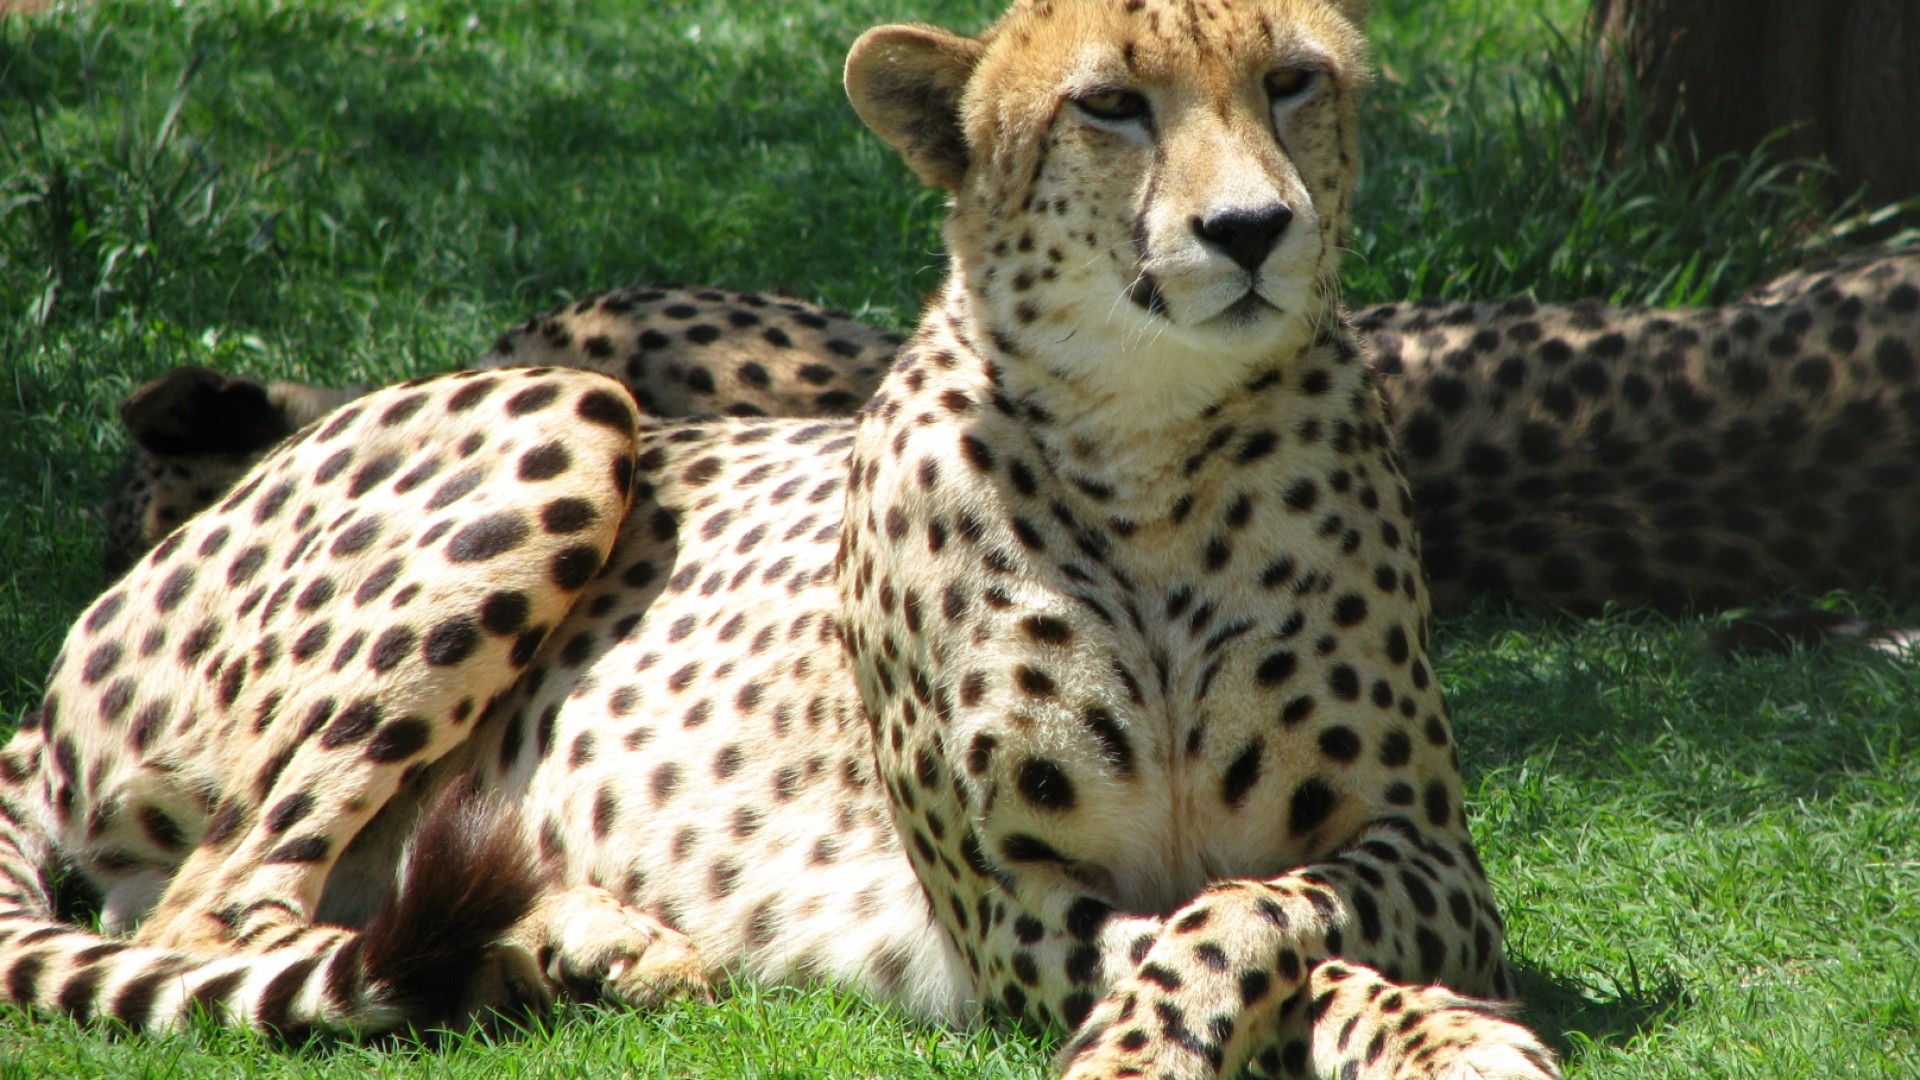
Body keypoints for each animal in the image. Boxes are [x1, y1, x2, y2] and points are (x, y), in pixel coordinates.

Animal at [0, 2, 1568, 1075]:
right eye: (1112, 105)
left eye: (1293, 80)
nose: (1250, 228)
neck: (1150, 441)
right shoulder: (1008, 908)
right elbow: (1239, 932)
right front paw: (1161, 1044)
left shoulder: (1430, 854)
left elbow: (1264, 906)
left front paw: (1446, 1038)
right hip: (566, 406)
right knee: (207, 911)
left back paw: (564, 944)